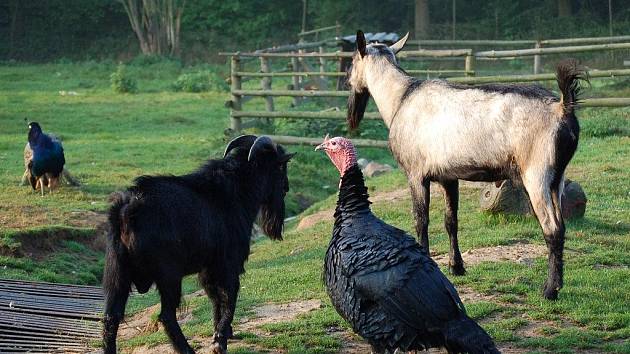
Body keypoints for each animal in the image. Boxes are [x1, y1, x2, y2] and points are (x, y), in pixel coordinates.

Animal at [103, 136, 296, 354]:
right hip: (168, 275)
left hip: (118, 273)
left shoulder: (207, 268)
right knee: (166, 315)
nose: (287, 187)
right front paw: (219, 340)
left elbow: (216, 299)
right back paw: (187, 349)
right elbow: (229, 296)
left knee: (111, 317)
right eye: (280, 167)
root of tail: (127, 210)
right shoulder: (227, 263)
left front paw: (223, 333)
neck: (235, 192)